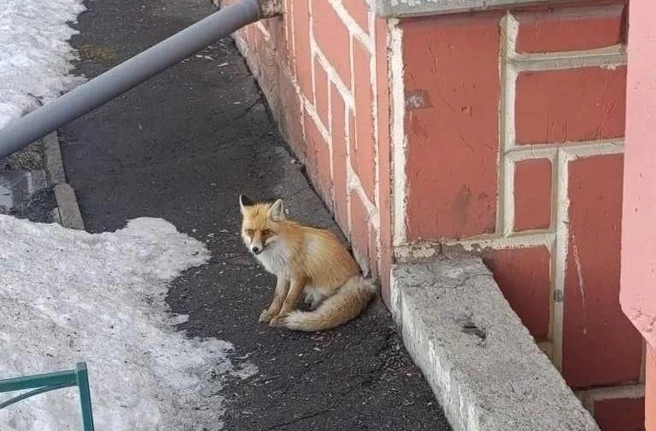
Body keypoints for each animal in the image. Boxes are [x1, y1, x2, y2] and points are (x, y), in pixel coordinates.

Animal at [239, 194, 376, 331]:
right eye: (250, 231)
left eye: (266, 232)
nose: (255, 249)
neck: (277, 251)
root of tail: (360, 282)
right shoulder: (282, 275)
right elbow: (278, 297)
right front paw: (270, 313)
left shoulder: (299, 277)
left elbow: (289, 300)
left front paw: (281, 318)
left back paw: (316, 303)